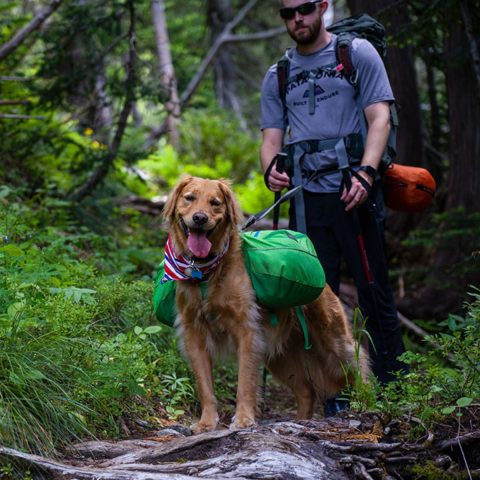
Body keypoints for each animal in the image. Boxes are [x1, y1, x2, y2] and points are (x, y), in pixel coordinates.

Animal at [163, 175, 370, 432]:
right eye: (189, 198)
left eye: (215, 203)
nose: (200, 218)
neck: (205, 272)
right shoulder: (194, 333)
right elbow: (205, 386)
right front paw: (207, 422)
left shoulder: (247, 331)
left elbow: (245, 382)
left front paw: (243, 419)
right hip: (280, 355)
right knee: (307, 391)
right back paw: (299, 422)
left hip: (335, 341)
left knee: (360, 366)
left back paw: (372, 405)